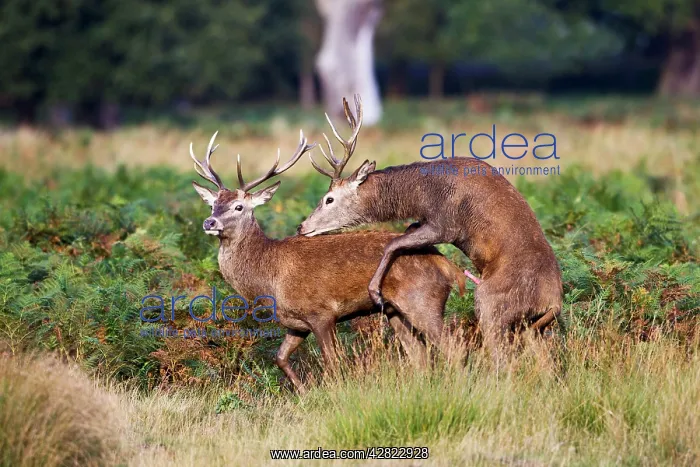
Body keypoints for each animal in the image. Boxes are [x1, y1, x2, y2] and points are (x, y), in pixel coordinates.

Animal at [189, 130, 466, 393]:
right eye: (213, 204)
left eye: (238, 207)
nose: (209, 222)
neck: (269, 280)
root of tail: (448, 266)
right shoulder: (296, 323)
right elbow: (279, 358)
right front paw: (303, 393)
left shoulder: (321, 312)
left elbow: (333, 364)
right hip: (395, 310)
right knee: (420, 356)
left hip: (422, 300)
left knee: (453, 348)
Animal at [298, 95, 563, 361]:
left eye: (329, 199)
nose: (302, 226)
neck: (420, 195)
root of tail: (554, 303)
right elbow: (405, 232)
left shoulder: (446, 224)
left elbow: (393, 243)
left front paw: (375, 292)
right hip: (533, 326)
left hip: (492, 302)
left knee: (501, 353)